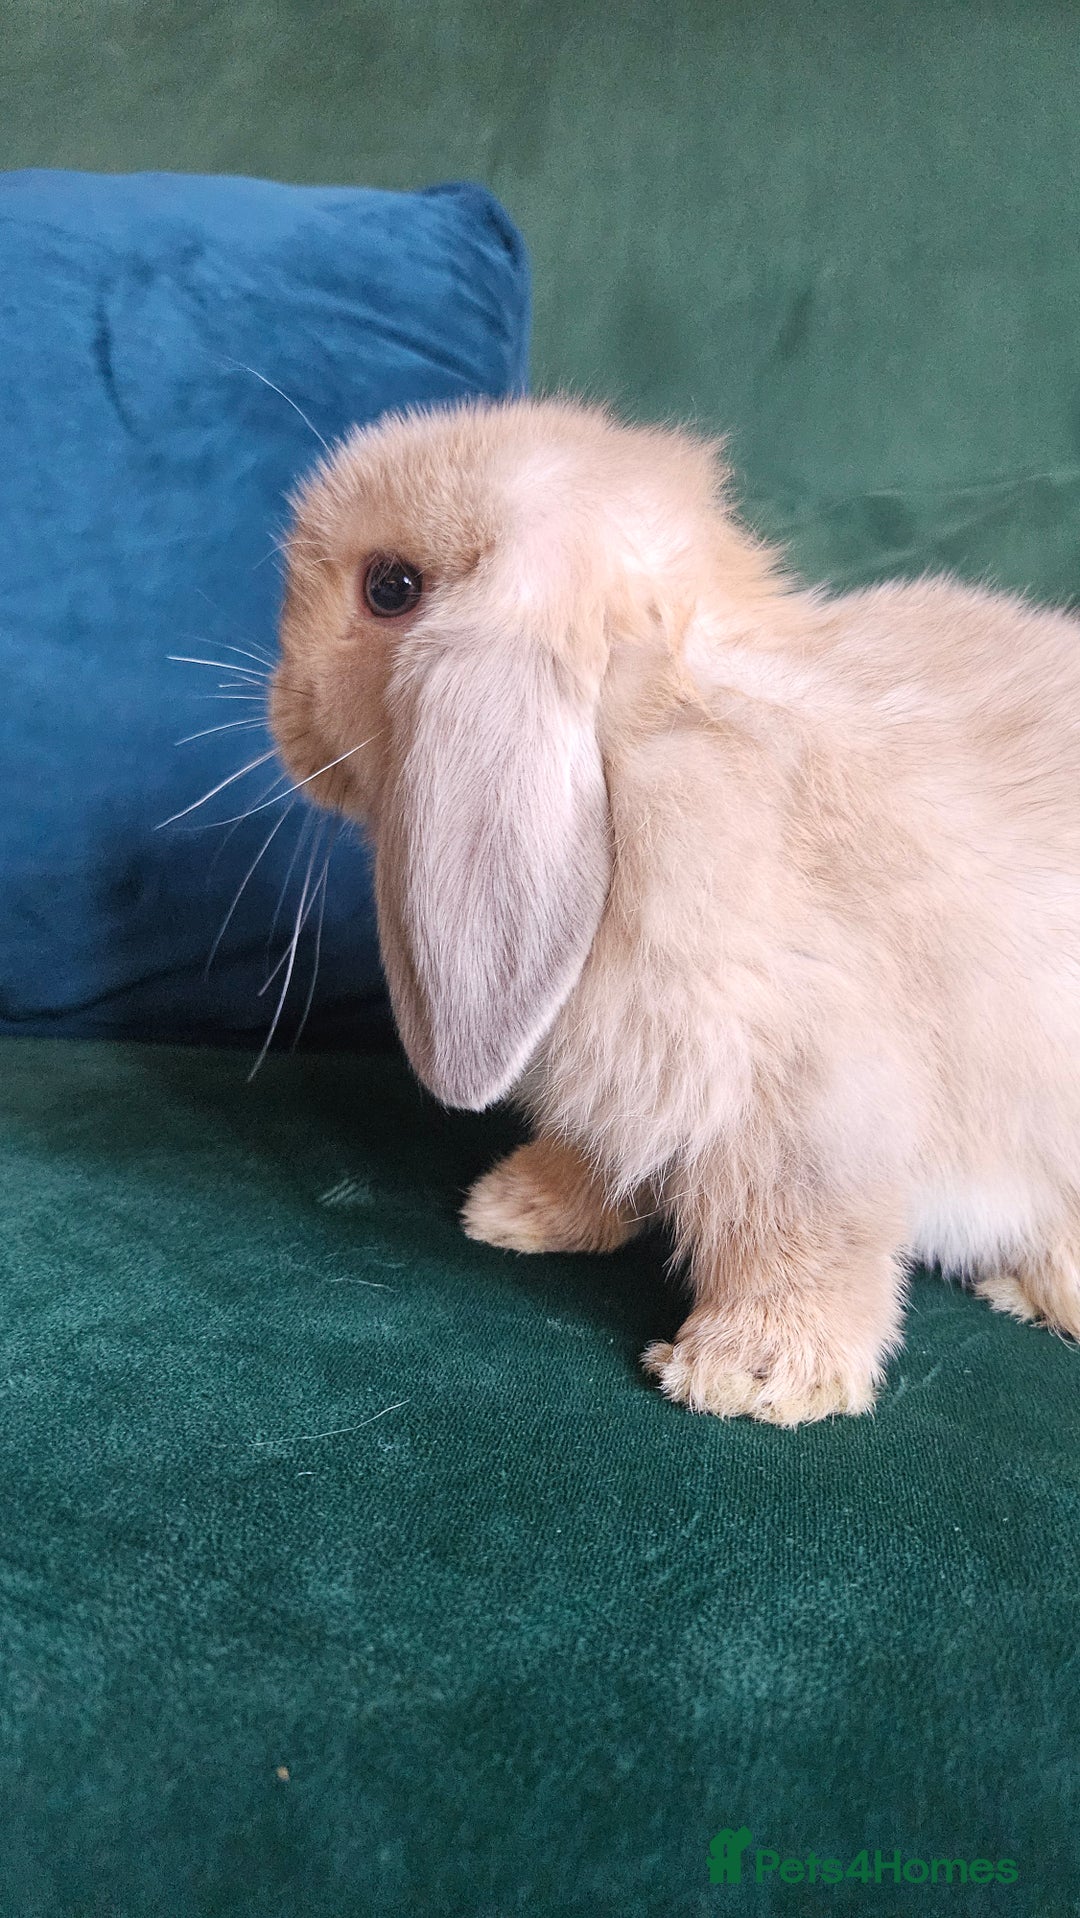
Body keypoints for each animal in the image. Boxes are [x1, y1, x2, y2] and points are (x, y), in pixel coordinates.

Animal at [270, 394, 1080, 1424]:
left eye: (391, 587)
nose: (282, 717)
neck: (645, 739)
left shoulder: (813, 1096)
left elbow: (804, 1236)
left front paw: (753, 1375)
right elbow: (601, 1157)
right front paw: (516, 1210)